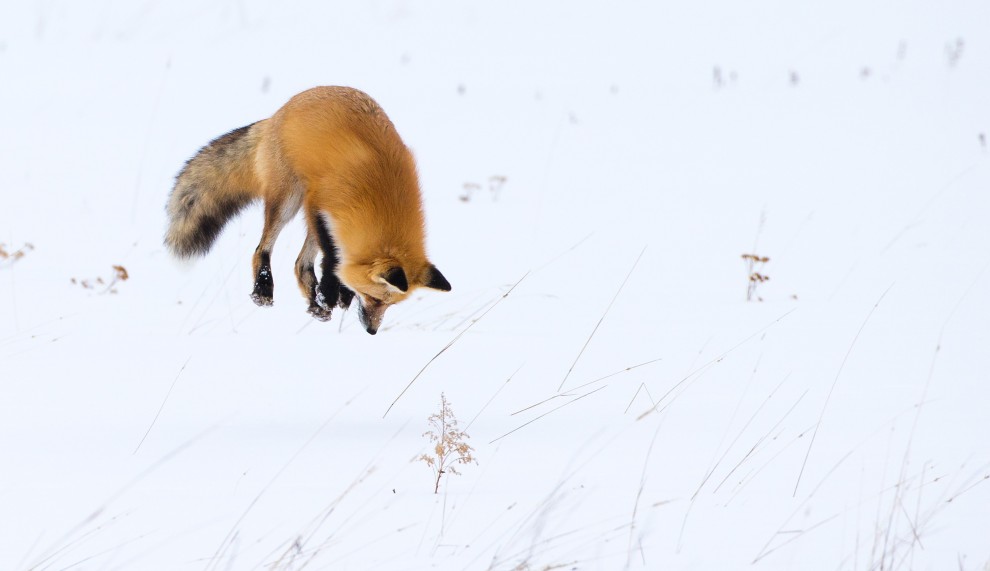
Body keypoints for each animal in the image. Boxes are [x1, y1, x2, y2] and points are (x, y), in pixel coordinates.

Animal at [164, 86, 451, 334]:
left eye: (390, 304)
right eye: (373, 297)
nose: (372, 331)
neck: (382, 195)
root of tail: (278, 112)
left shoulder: (337, 219)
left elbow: (330, 261)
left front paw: (336, 294)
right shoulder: (318, 203)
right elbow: (332, 257)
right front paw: (330, 291)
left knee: (300, 264)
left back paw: (316, 303)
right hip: (289, 201)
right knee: (262, 249)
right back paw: (264, 289)